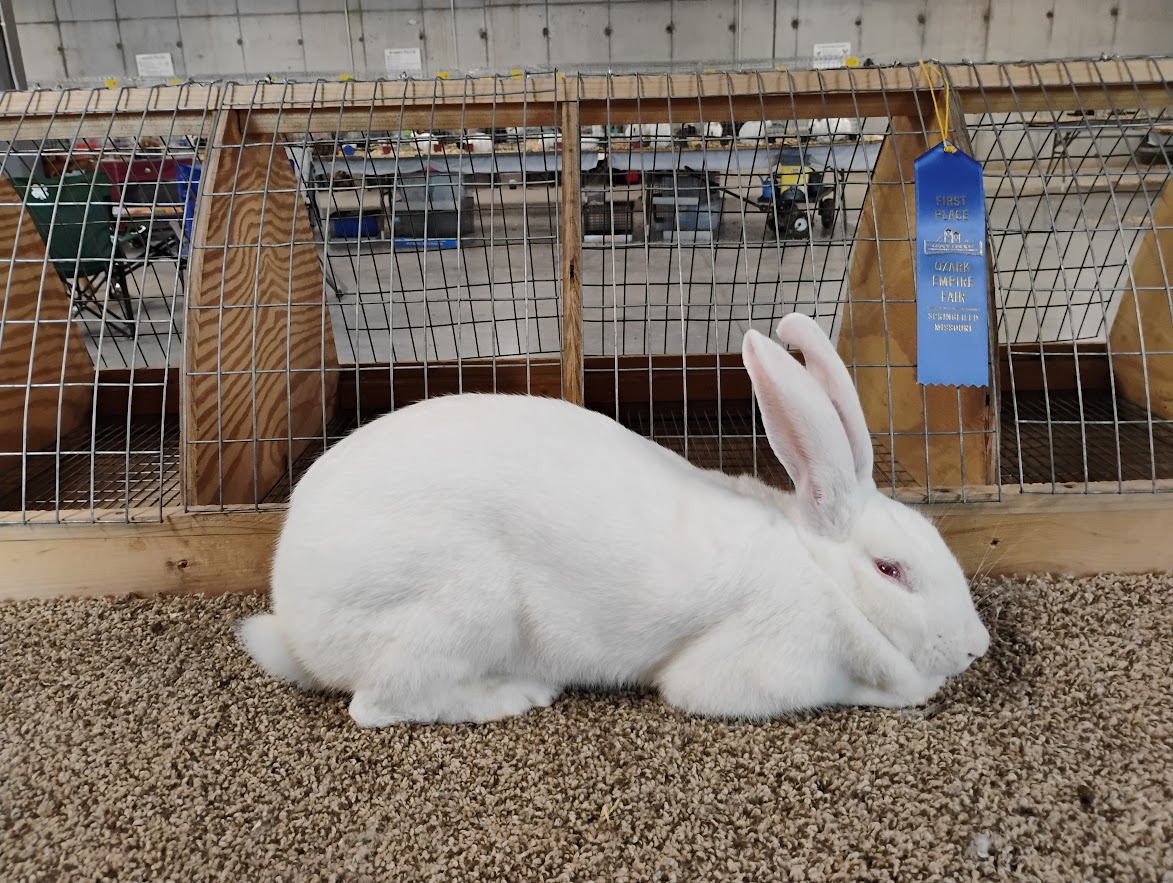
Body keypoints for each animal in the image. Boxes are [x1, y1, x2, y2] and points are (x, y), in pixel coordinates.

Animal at [237, 312, 990, 728]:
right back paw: (513, 695)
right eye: (890, 569)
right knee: (381, 702)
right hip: (461, 604)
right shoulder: (758, 670)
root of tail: (295, 624)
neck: (818, 573)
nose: (977, 648)